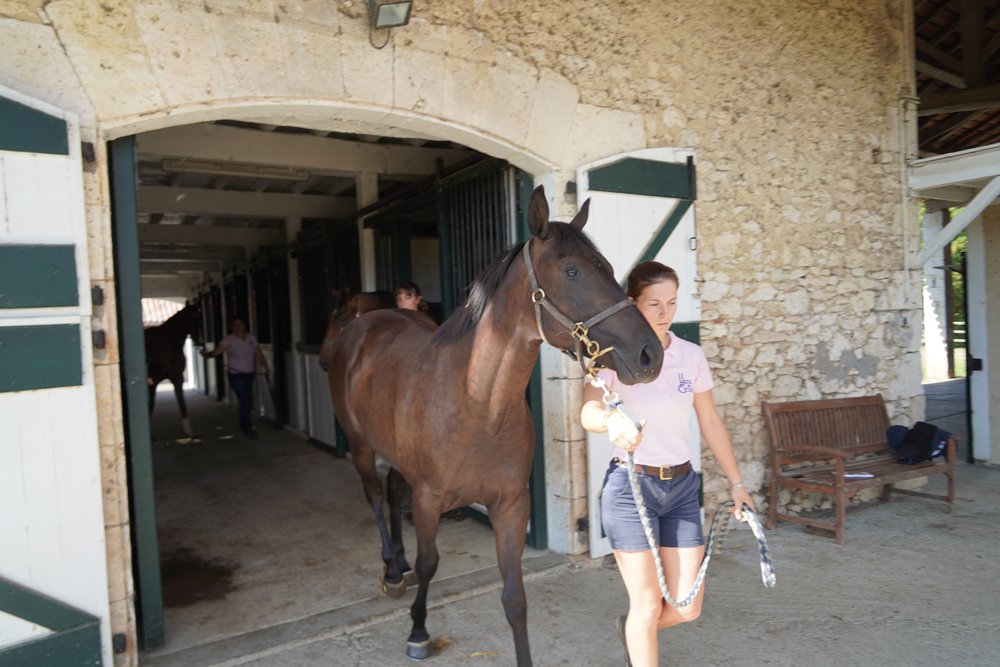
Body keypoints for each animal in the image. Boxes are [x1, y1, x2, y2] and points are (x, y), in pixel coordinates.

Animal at [145, 302, 203, 438]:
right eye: (192, 318)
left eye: (201, 318)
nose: (200, 342)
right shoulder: (152, 382)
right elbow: (151, 405)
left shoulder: (177, 379)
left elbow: (182, 404)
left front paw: (189, 431)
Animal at [326, 185, 664, 665]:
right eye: (573, 271)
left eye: (610, 269)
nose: (650, 354)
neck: (478, 405)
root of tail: (364, 328)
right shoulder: (429, 500)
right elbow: (431, 563)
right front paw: (418, 630)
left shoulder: (511, 506)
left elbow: (515, 600)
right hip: (359, 445)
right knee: (374, 495)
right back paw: (392, 569)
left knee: (390, 494)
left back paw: (400, 565)